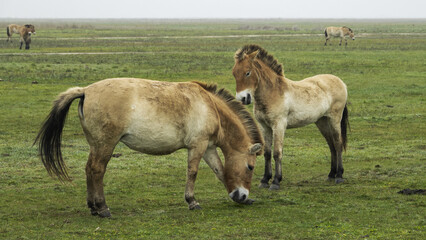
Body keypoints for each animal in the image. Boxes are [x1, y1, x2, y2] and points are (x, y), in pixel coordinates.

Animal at [35, 78, 264, 217]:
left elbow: (220, 171)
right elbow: (193, 172)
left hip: (96, 145)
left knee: (89, 170)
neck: (210, 106)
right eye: (251, 167)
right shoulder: (197, 146)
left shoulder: (207, 148)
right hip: (105, 145)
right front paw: (191, 201)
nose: (242, 196)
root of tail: (85, 91)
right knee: (97, 170)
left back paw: (93, 207)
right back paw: (102, 208)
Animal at [233, 44, 350, 188]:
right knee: (331, 145)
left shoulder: (279, 125)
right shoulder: (265, 127)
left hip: (334, 119)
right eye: (234, 73)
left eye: (248, 72)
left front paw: (276, 181)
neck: (273, 92)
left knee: (338, 144)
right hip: (322, 121)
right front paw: (265, 180)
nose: (242, 99)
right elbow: (267, 153)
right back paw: (331, 174)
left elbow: (277, 152)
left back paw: (339, 175)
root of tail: (340, 81)